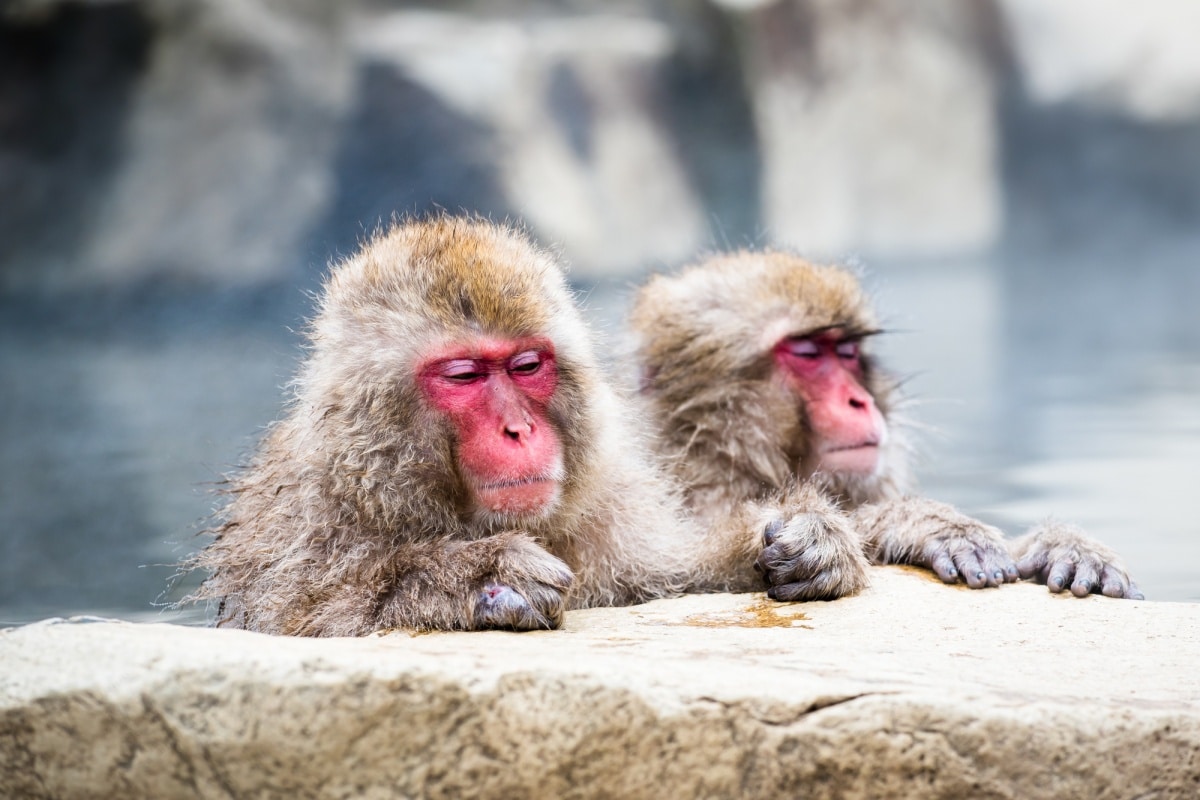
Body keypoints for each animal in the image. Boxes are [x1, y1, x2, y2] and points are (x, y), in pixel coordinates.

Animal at [188, 215, 700, 633]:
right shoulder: (296, 530)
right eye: (464, 376)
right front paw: (482, 575)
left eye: (527, 365)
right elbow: (309, 619)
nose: (519, 430)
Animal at [628, 253, 1142, 604]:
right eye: (808, 353)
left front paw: (1063, 546)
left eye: (847, 352)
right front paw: (917, 523)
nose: (860, 400)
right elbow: (667, 576)